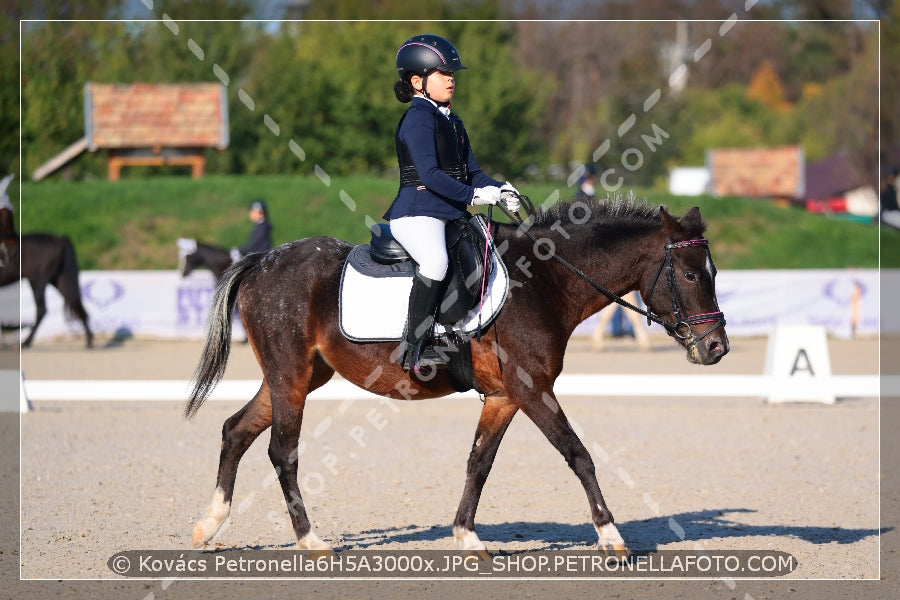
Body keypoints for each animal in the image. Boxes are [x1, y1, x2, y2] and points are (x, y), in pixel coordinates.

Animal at [186, 197, 728, 556]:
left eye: (714, 271)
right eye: (690, 274)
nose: (716, 347)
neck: (547, 281)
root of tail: (263, 260)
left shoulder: (505, 396)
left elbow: (478, 463)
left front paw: (467, 536)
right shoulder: (534, 390)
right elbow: (579, 455)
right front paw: (612, 536)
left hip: (297, 376)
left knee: (235, 430)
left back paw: (208, 526)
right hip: (291, 376)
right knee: (282, 451)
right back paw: (310, 540)